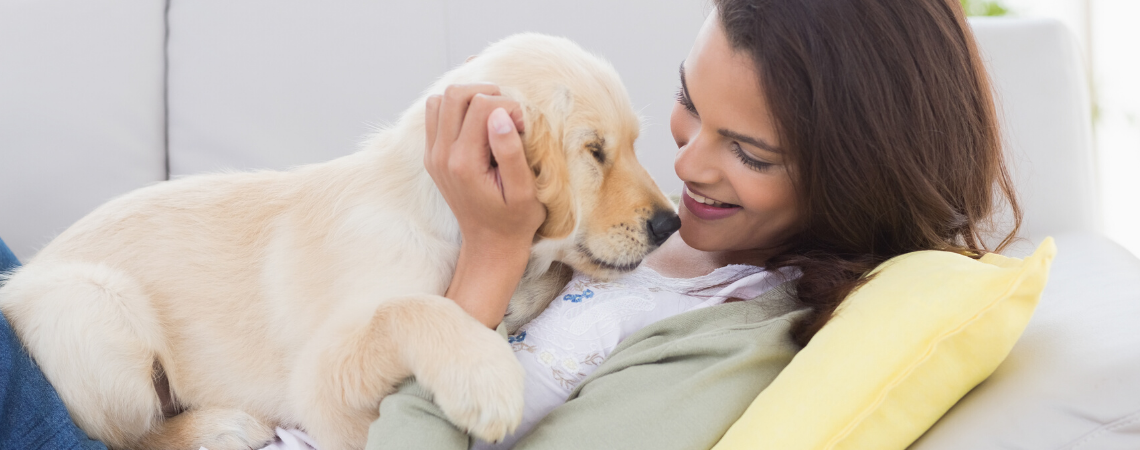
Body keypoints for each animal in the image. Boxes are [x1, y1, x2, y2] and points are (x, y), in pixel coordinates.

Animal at [0, 32, 674, 450]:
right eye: (595, 151)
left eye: (633, 144)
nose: (670, 225)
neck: (441, 219)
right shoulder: (321, 386)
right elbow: (409, 308)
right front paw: (483, 376)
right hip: (91, 306)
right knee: (118, 434)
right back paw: (218, 427)